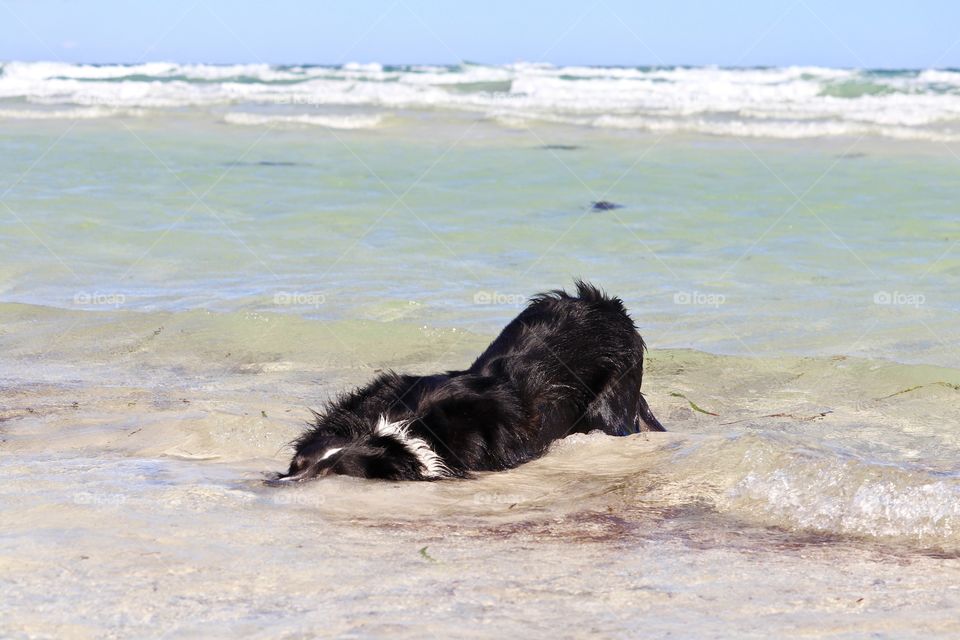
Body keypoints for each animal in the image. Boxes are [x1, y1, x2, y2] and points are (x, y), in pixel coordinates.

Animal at [270, 282, 660, 482]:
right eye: (296, 464)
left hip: (610, 405)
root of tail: (611, 307)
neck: (402, 429)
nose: (280, 482)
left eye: (330, 472)